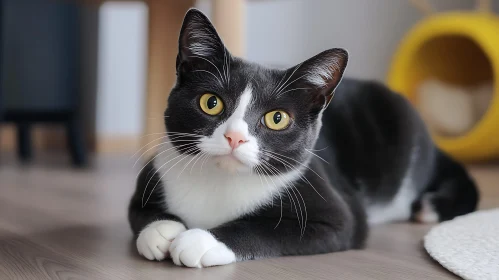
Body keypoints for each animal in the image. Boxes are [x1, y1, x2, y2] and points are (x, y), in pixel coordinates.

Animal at [129, 8, 480, 266]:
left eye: (277, 118)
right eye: (211, 102)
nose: (234, 138)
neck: (220, 181)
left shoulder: (338, 215)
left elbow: (267, 227)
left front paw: (201, 240)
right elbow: (137, 211)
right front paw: (162, 231)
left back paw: (428, 207)